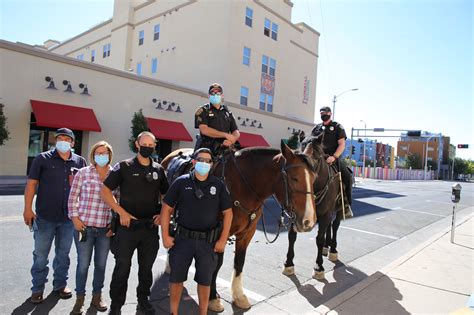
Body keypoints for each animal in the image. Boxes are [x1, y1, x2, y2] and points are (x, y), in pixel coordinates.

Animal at [161, 143, 316, 312]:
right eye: (294, 178)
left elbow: (240, 261)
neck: (243, 187)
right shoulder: (220, 233)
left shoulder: (247, 233)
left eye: (314, 178)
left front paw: (238, 296)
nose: (309, 221)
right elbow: (216, 264)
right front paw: (213, 298)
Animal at [282, 137, 344, 280]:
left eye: (315, 157)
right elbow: (291, 236)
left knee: (335, 225)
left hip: (337, 210)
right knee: (329, 226)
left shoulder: (325, 213)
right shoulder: (295, 212)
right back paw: (327, 247)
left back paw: (333, 250)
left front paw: (319, 267)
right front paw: (288, 264)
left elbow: (319, 239)